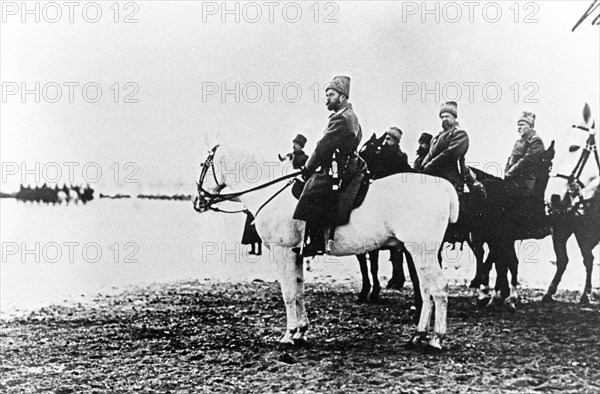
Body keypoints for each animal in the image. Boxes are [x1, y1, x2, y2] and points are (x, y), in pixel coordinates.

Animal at [197, 139, 460, 350]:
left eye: (202, 166)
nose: (197, 201)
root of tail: (444, 186)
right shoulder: (297, 254)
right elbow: (299, 291)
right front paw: (301, 332)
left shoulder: (283, 252)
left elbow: (288, 294)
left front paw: (288, 334)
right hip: (419, 254)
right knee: (426, 290)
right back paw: (418, 335)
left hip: (423, 252)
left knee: (439, 289)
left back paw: (436, 338)